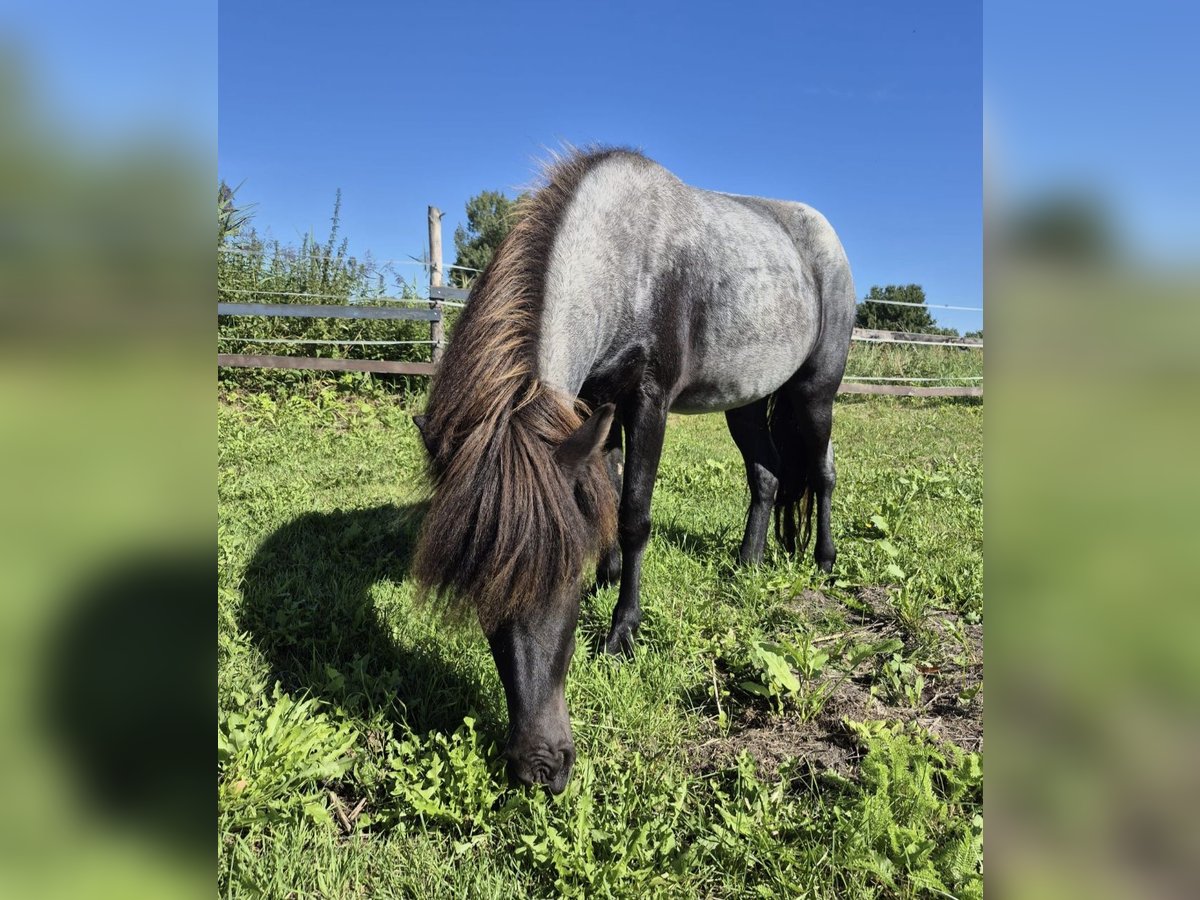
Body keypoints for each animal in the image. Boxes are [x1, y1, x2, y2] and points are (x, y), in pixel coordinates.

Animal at [411, 147, 855, 793]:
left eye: (562, 586)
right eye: (481, 592)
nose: (539, 768)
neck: (624, 258)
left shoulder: (648, 401)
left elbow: (634, 514)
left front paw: (623, 630)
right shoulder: (596, 403)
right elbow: (605, 490)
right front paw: (608, 575)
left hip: (815, 393)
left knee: (820, 473)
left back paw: (823, 561)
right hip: (746, 400)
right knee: (768, 476)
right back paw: (746, 565)